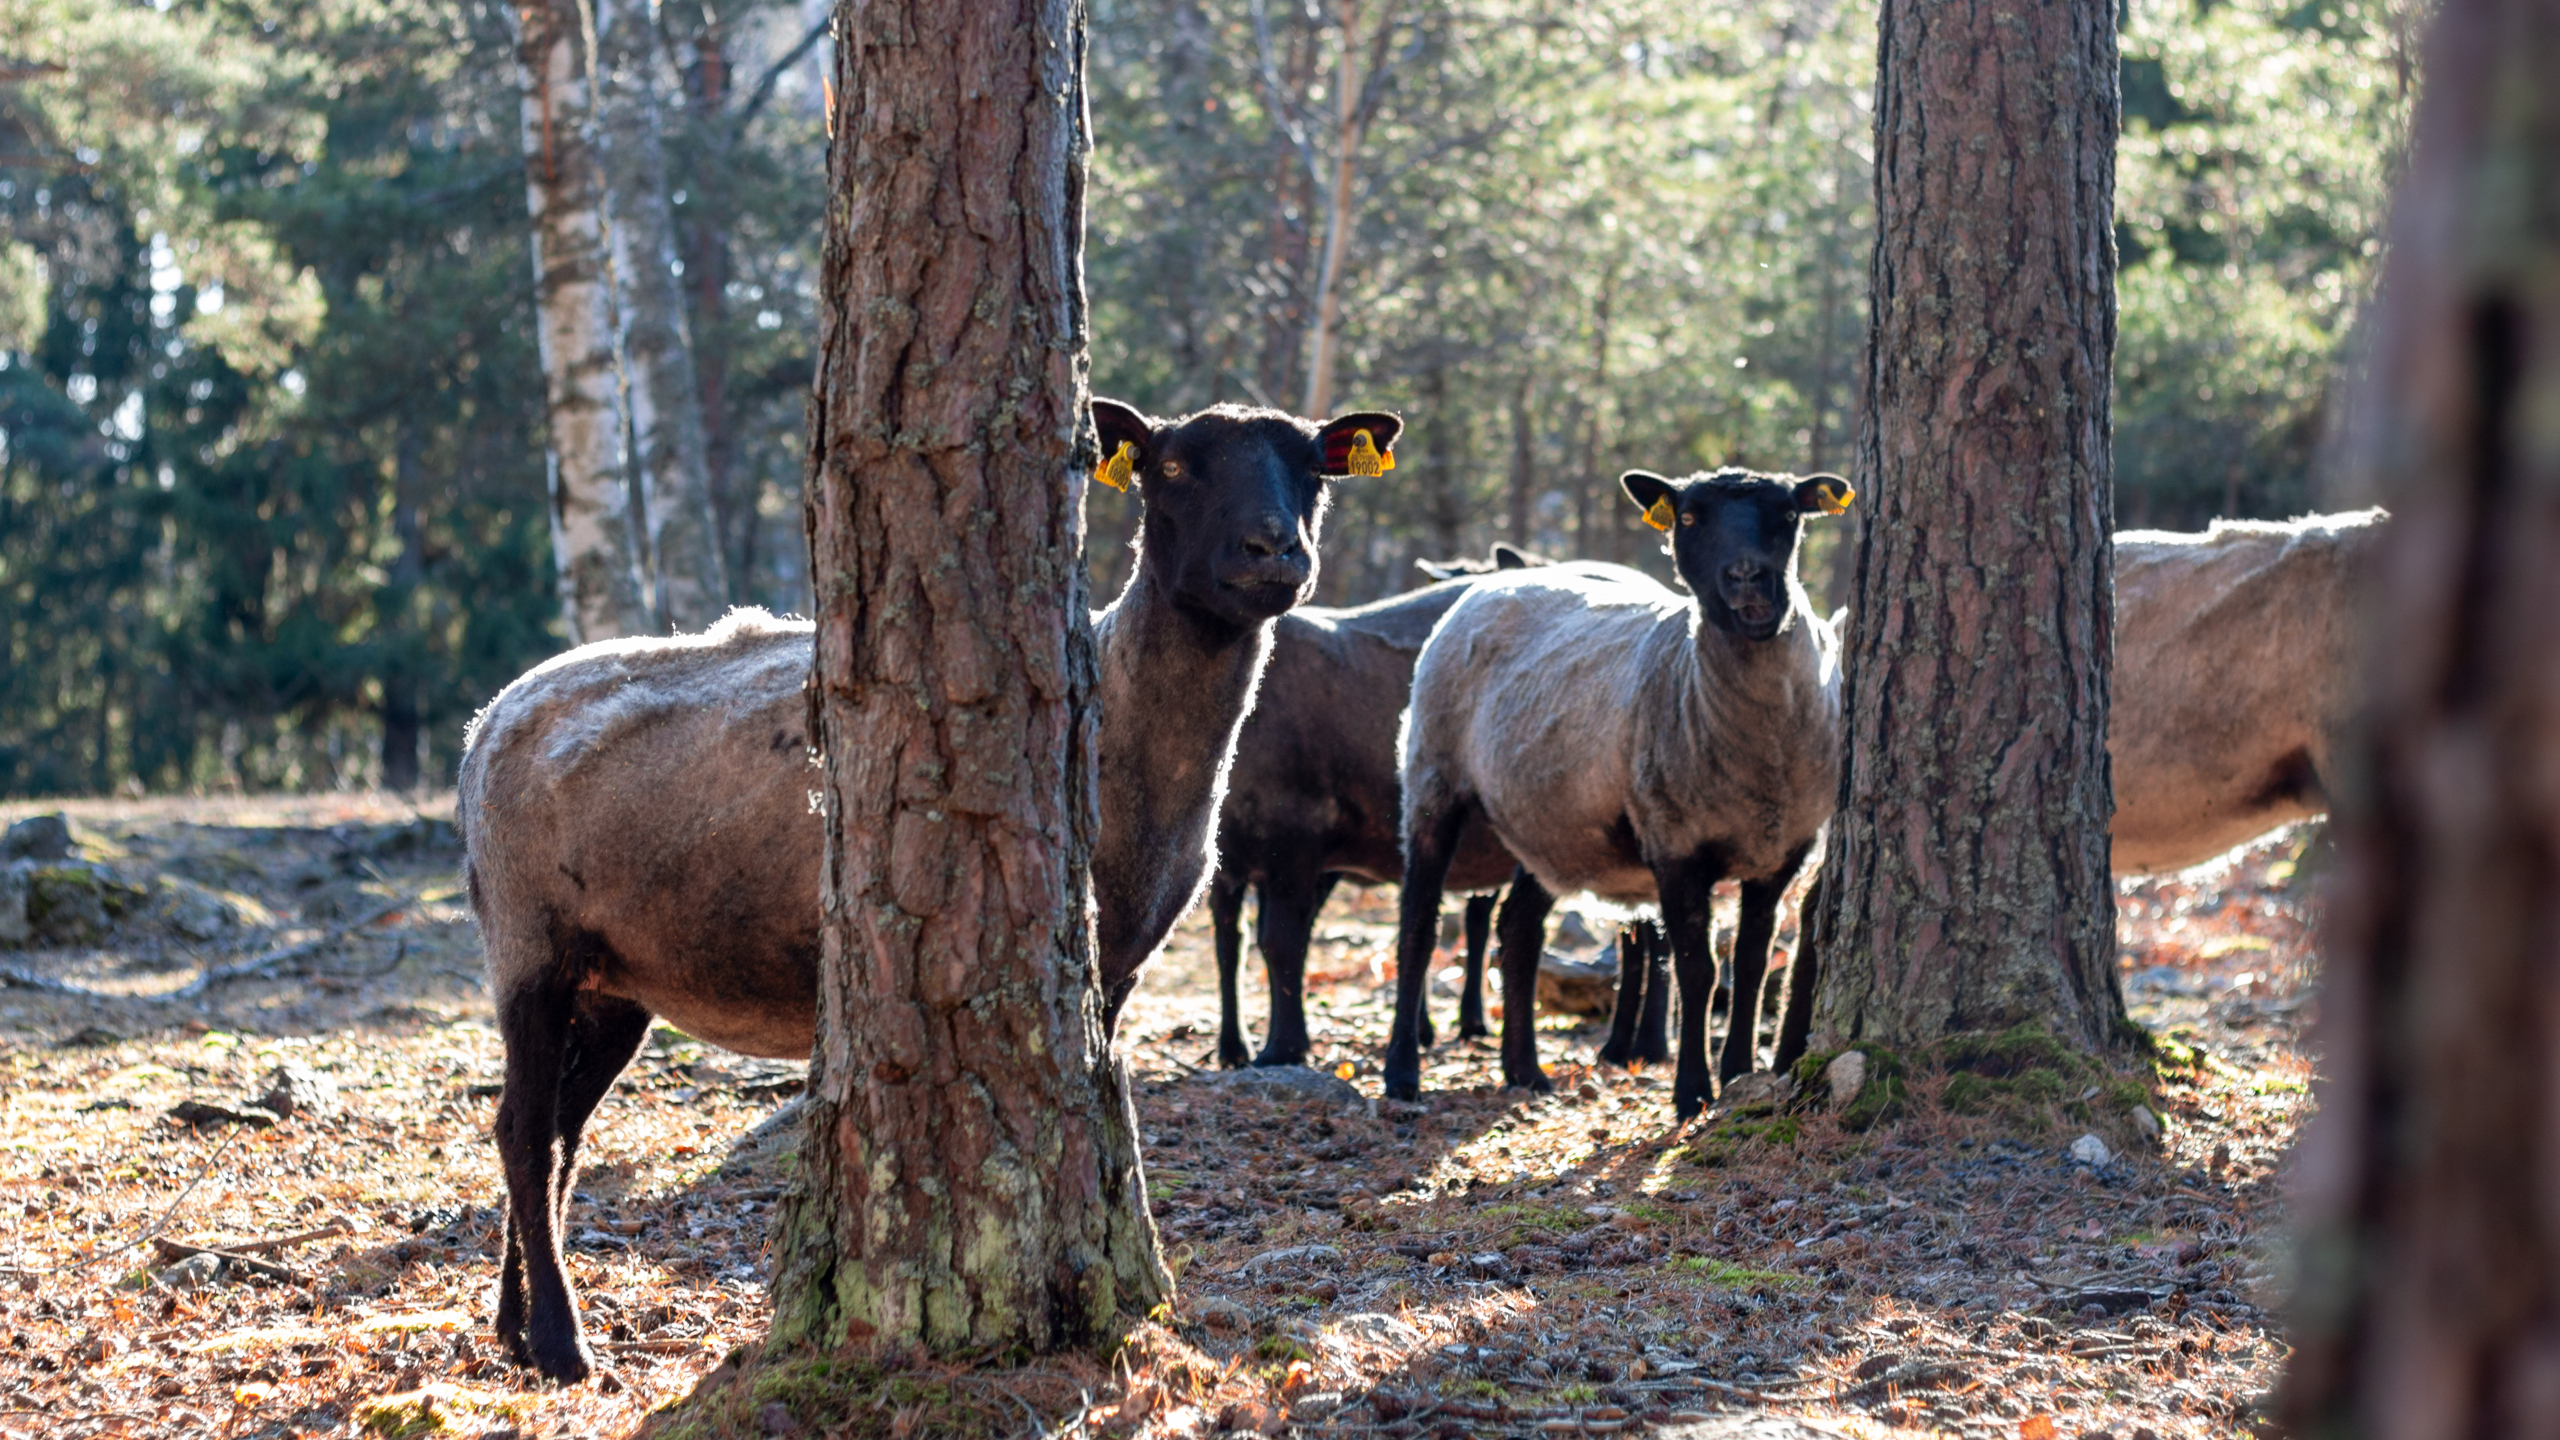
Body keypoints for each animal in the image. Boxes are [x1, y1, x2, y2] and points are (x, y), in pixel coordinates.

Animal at [456, 399, 1401, 1382]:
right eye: (1173, 468)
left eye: (1315, 469)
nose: (1273, 550)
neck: (1136, 729)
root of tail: (490, 720)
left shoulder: (1119, 967)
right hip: (529, 945)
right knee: (522, 1133)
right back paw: (559, 1343)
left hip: (613, 982)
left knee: (556, 1136)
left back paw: (514, 1326)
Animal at [1205, 545, 1537, 1070]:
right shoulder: (1231, 859)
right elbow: (1235, 944)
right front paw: (1238, 1046)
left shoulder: (1295, 839)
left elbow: (1280, 942)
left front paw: (1283, 1047)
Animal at [1384, 466, 1854, 1117]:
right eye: (1689, 517)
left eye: (1789, 514)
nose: (1747, 577)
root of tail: (1494, 582)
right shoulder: (1675, 844)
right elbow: (1698, 969)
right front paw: (1692, 1091)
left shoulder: (1782, 854)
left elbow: (1752, 964)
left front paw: (1737, 1074)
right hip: (1434, 774)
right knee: (1418, 925)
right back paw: (1402, 1073)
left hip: (1550, 823)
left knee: (1517, 929)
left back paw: (1525, 1070)